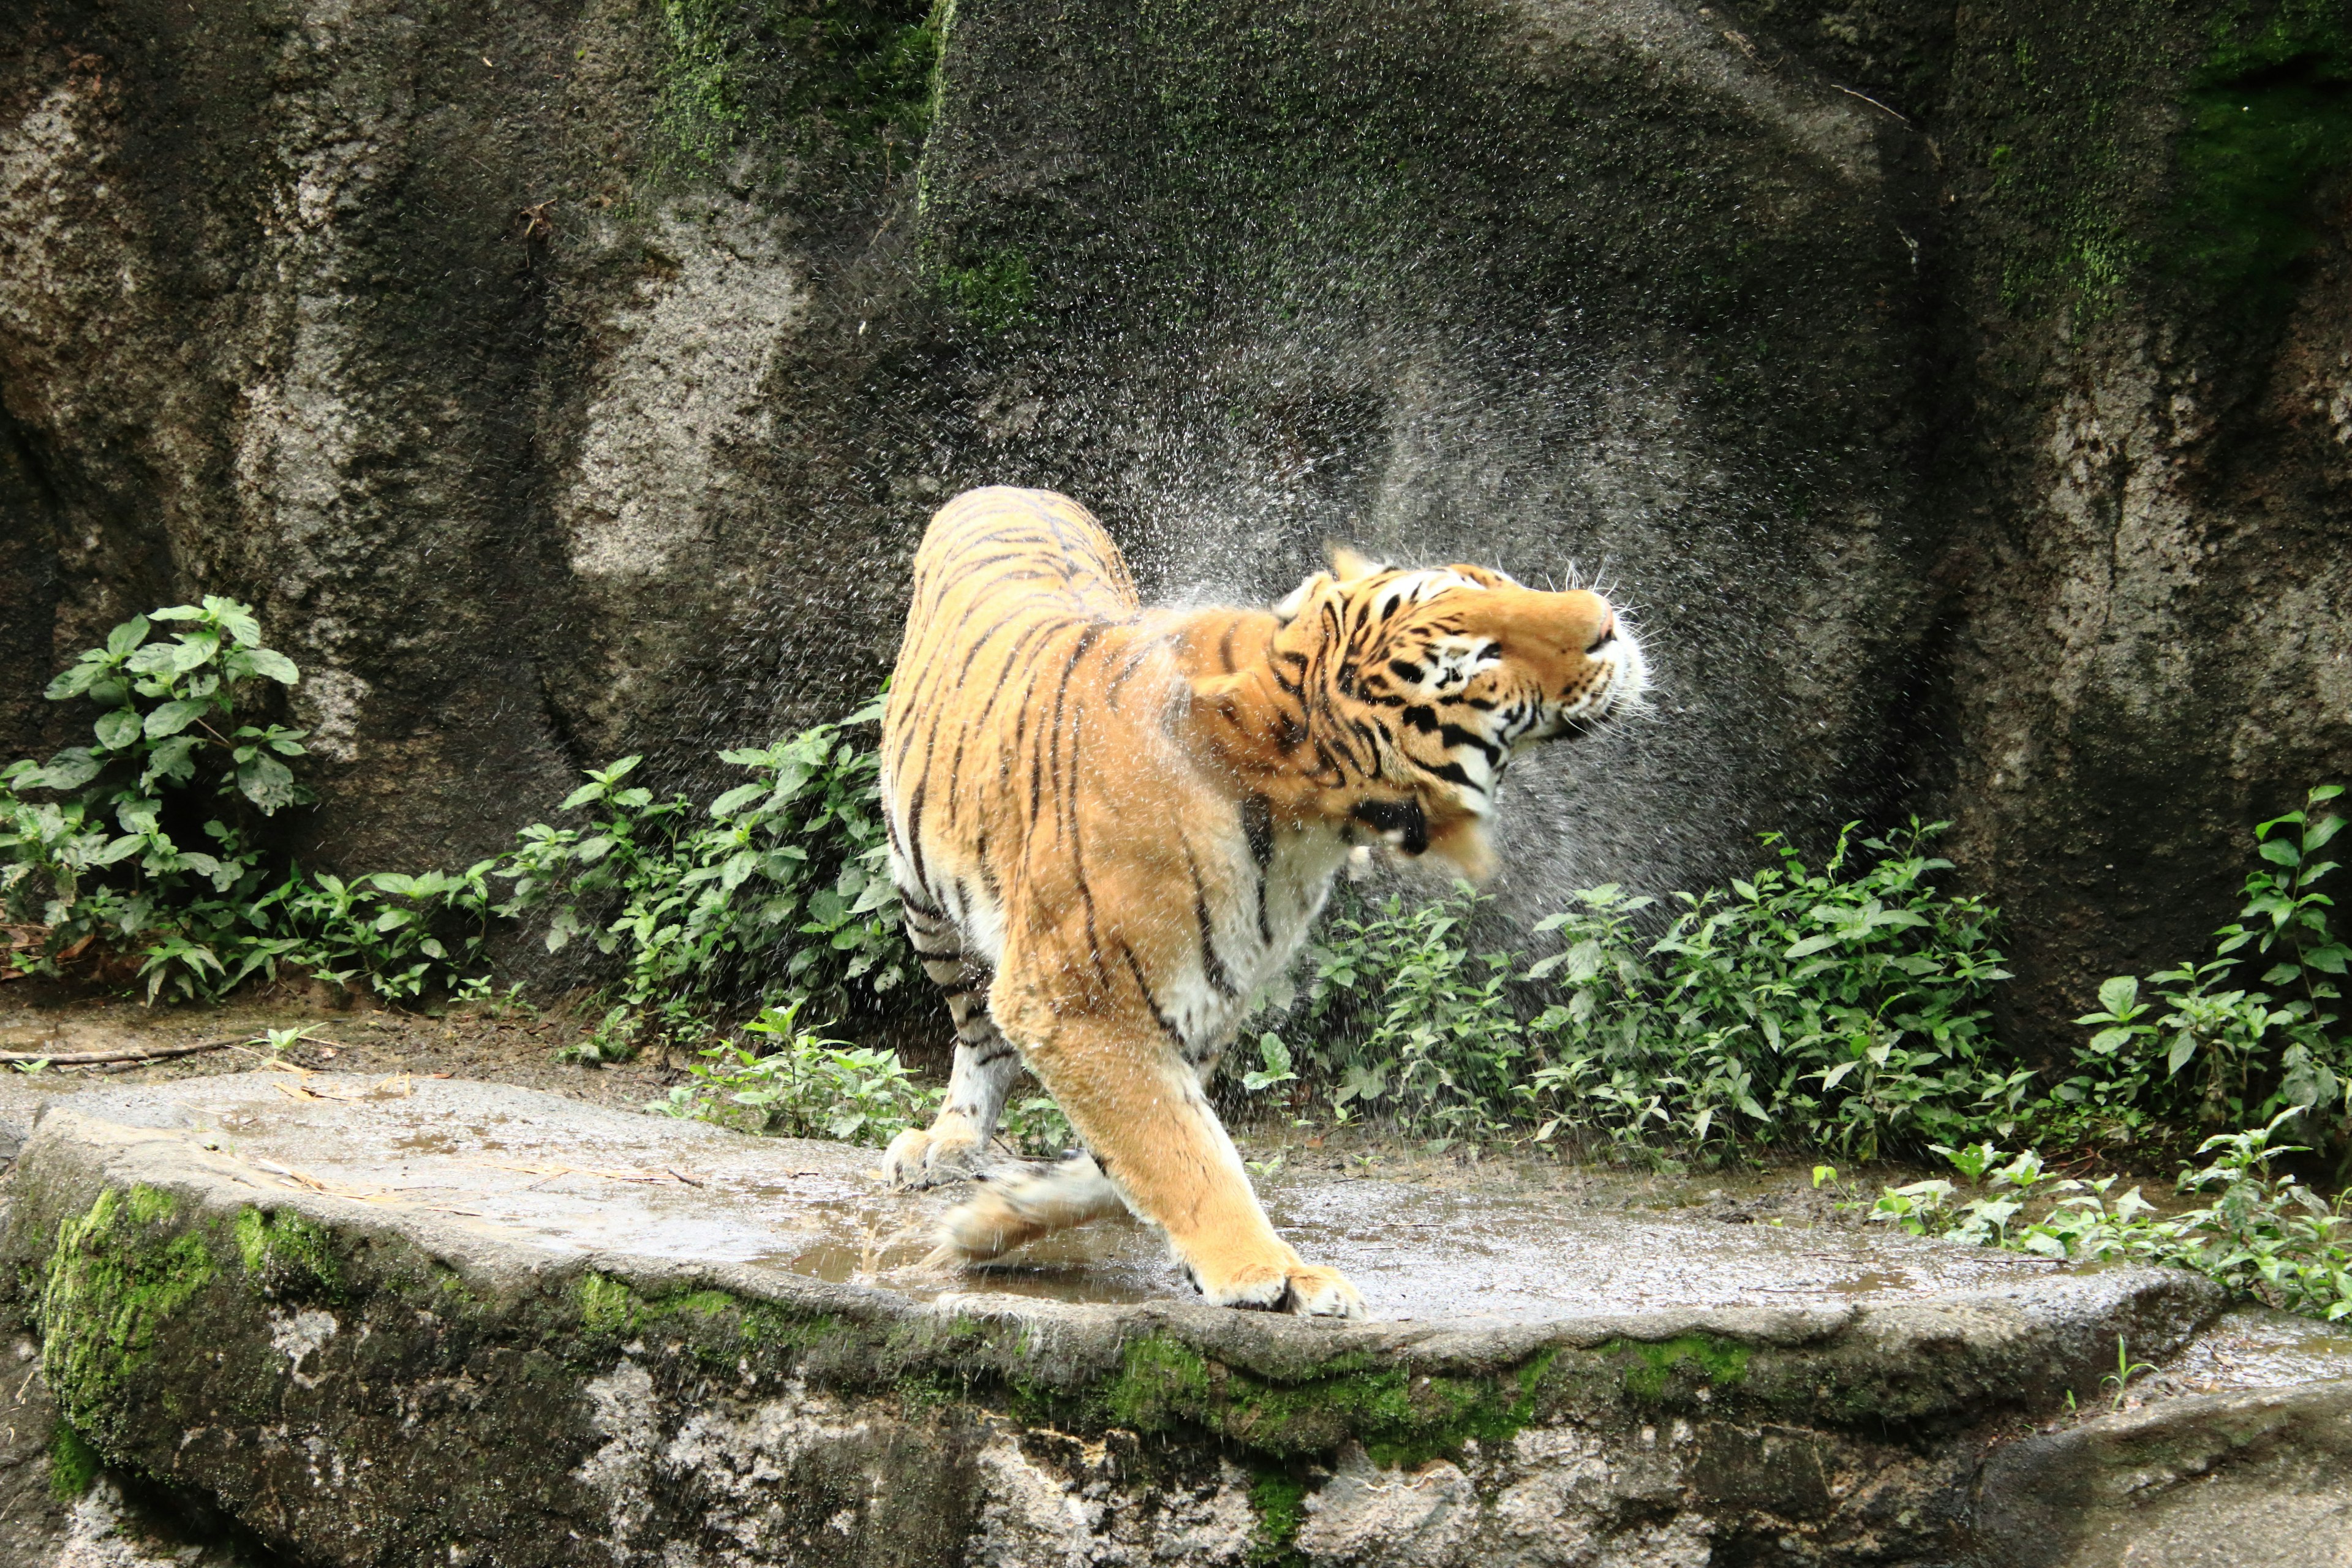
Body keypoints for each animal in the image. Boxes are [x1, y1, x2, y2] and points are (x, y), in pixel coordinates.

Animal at [875, 484, 1646, 1316]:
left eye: (1480, 582)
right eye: (1480, 659)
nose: (1604, 624)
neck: (1309, 821)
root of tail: (1005, 488)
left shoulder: (1205, 999)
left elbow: (1143, 1152)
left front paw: (1003, 1213)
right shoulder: (1072, 1001)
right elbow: (1177, 1147)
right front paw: (1260, 1269)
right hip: (926, 903)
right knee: (977, 1032)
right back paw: (948, 1144)